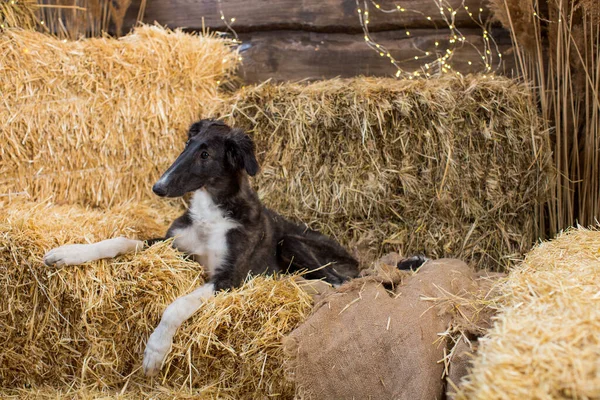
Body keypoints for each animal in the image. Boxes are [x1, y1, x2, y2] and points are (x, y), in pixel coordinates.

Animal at [43, 120, 360, 376]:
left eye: (205, 155)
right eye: (188, 146)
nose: (158, 188)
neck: (212, 211)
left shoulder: (228, 278)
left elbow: (178, 305)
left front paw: (155, 351)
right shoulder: (172, 246)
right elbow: (120, 240)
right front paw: (69, 252)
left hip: (293, 242)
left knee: (337, 281)